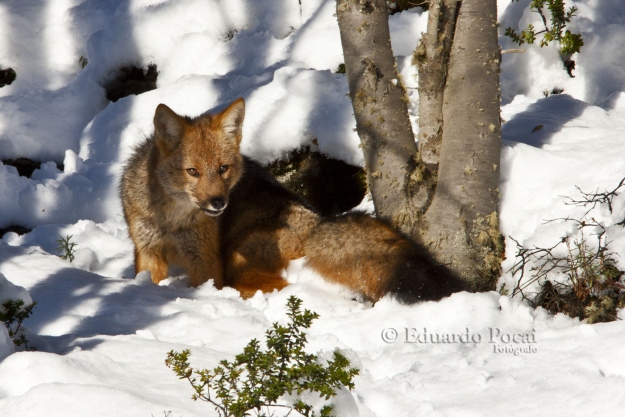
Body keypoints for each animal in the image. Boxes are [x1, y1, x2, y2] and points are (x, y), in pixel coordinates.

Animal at [120, 98, 464, 302]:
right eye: (192, 171)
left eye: (223, 169)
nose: (218, 203)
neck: (173, 221)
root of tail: (321, 224)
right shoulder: (147, 253)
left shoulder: (204, 259)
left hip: (238, 262)